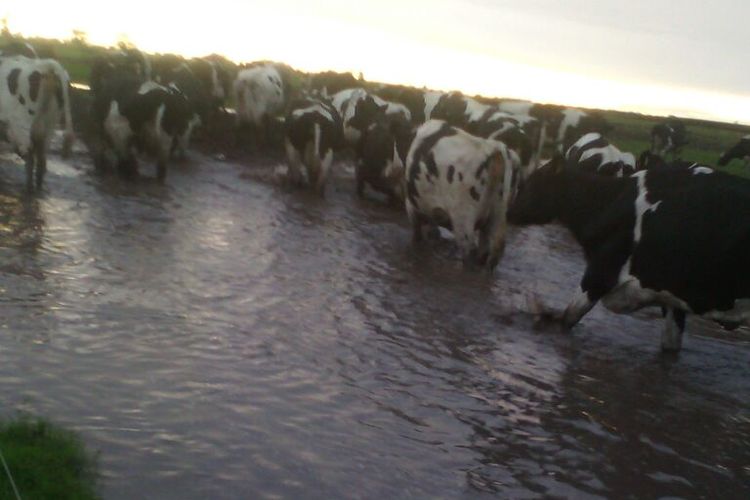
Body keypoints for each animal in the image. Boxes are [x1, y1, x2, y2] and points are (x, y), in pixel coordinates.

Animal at [0, 55, 74, 189]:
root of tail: (47, 66)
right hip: (50, 123)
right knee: (42, 156)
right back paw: (38, 187)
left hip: (22, 121)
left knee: (29, 151)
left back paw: (29, 187)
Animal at [405, 120, 516, 271]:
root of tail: (493, 149)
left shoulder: (412, 206)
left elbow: (417, 236)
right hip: (498, 212)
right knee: (492, 250)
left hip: (463, 217)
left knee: (470, 249)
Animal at [507, 155, 750, 352]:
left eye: (531, 184)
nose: (509, 212)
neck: (608, 202)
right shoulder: (671, 297)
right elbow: (670, 346)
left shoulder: (599, 275)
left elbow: (566, 320)